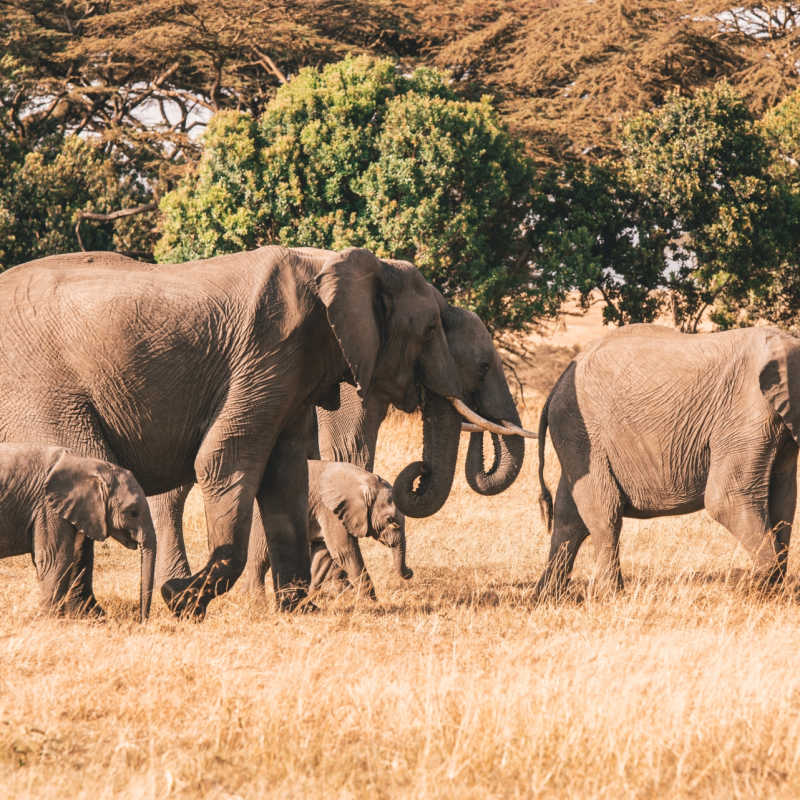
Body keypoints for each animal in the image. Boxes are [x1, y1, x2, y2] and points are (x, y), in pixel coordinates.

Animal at [0, 444, 156, 621]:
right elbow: (55, 560)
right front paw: (51, 621)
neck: (90, 465)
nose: (141, 620)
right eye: (132, 512)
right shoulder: (48, 507)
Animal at [242, 460, 411, 600]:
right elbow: (344, 551)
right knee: (260, 558)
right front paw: (372, 602)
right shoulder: (329, 510)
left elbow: (323, 554)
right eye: (391, 520)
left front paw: (309, 598)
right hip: (259, 518)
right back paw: (259, 603)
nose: (410, 572)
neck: (363, 479)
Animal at [536, 323, 800, 599]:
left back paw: (547, 598)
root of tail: (558, 383)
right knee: (604, 510)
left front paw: (772, 592)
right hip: (582, 431)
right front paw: (755, 589)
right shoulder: (747, 412)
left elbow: (784, 500)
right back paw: (612, 595)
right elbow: (726, 500)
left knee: (569, 516)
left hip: (575, 436)